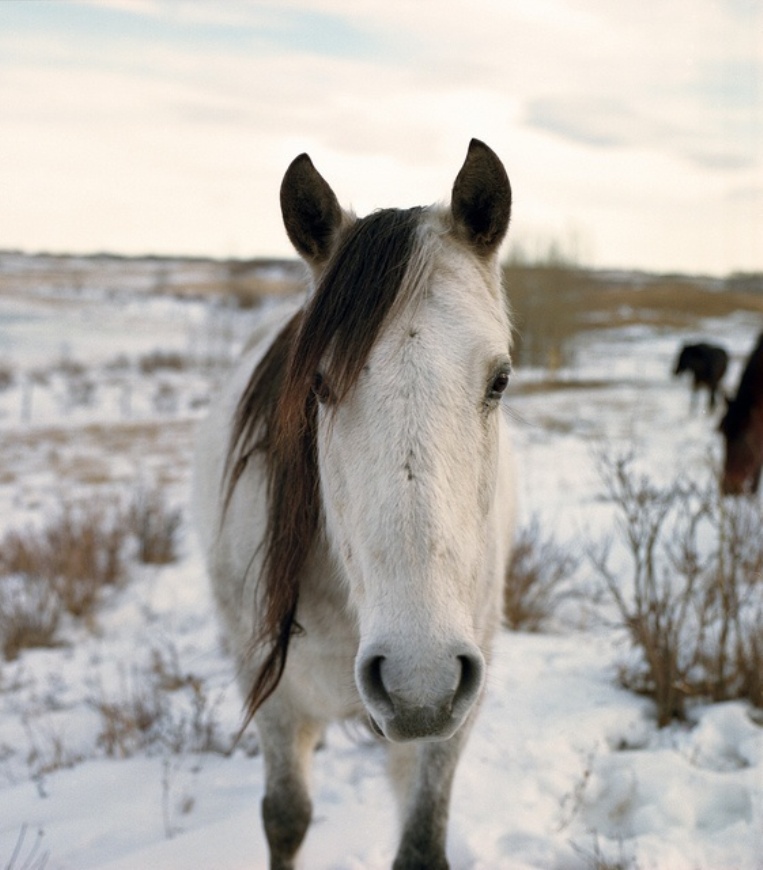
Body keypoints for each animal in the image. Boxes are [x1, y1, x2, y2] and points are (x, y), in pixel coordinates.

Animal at [192, 140, 520, 868]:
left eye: (500, 380)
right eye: (317, 385)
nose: (418, 675)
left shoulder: (457, 711)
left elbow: (422, 843)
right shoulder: (273, 696)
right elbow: (285, 817)